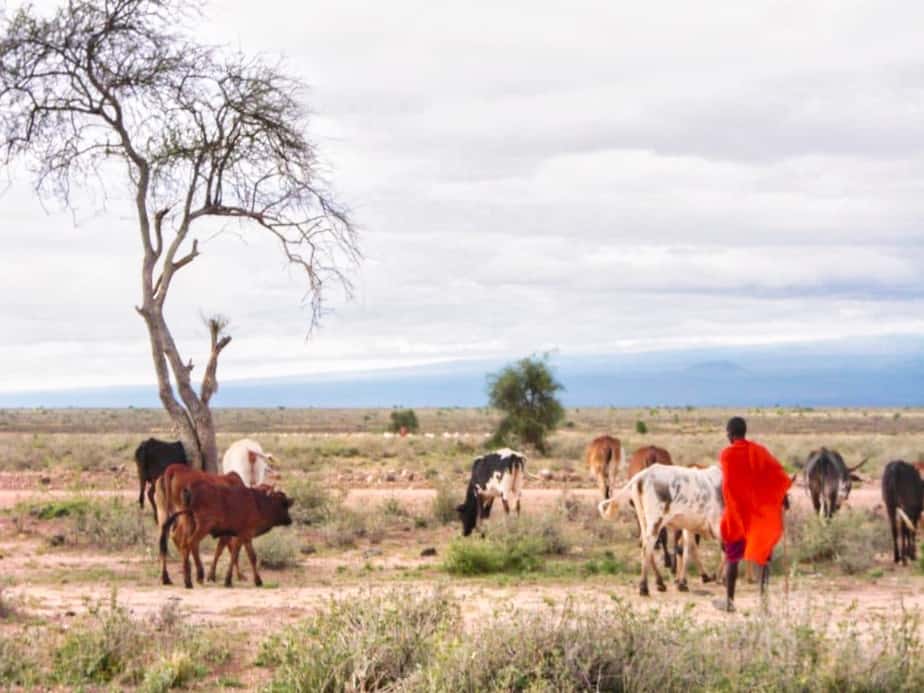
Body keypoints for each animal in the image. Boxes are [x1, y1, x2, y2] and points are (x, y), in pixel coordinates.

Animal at [157, 478, 290, 588]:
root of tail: (189, 490)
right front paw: (230, 580)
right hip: (202, 528)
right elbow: (241, 555)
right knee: (191, 543)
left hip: (188, 523)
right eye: (283, 502)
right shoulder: (243, 535)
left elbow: (245, 556)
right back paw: (191, 580)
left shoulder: (243, 537)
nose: (289, 520)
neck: (257, 502)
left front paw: (255, 581)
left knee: (184, 544)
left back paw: (187, 578)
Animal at [600, 462, 728, 592]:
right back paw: (644, 587)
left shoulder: (689, 527)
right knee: (647, 548)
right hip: (655, 523)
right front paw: (720, 578)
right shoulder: (717, 526)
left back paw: (660, 582)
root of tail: (642, 475)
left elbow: (687, 550)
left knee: (645, 546)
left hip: (644, 520)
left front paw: (684, 582)